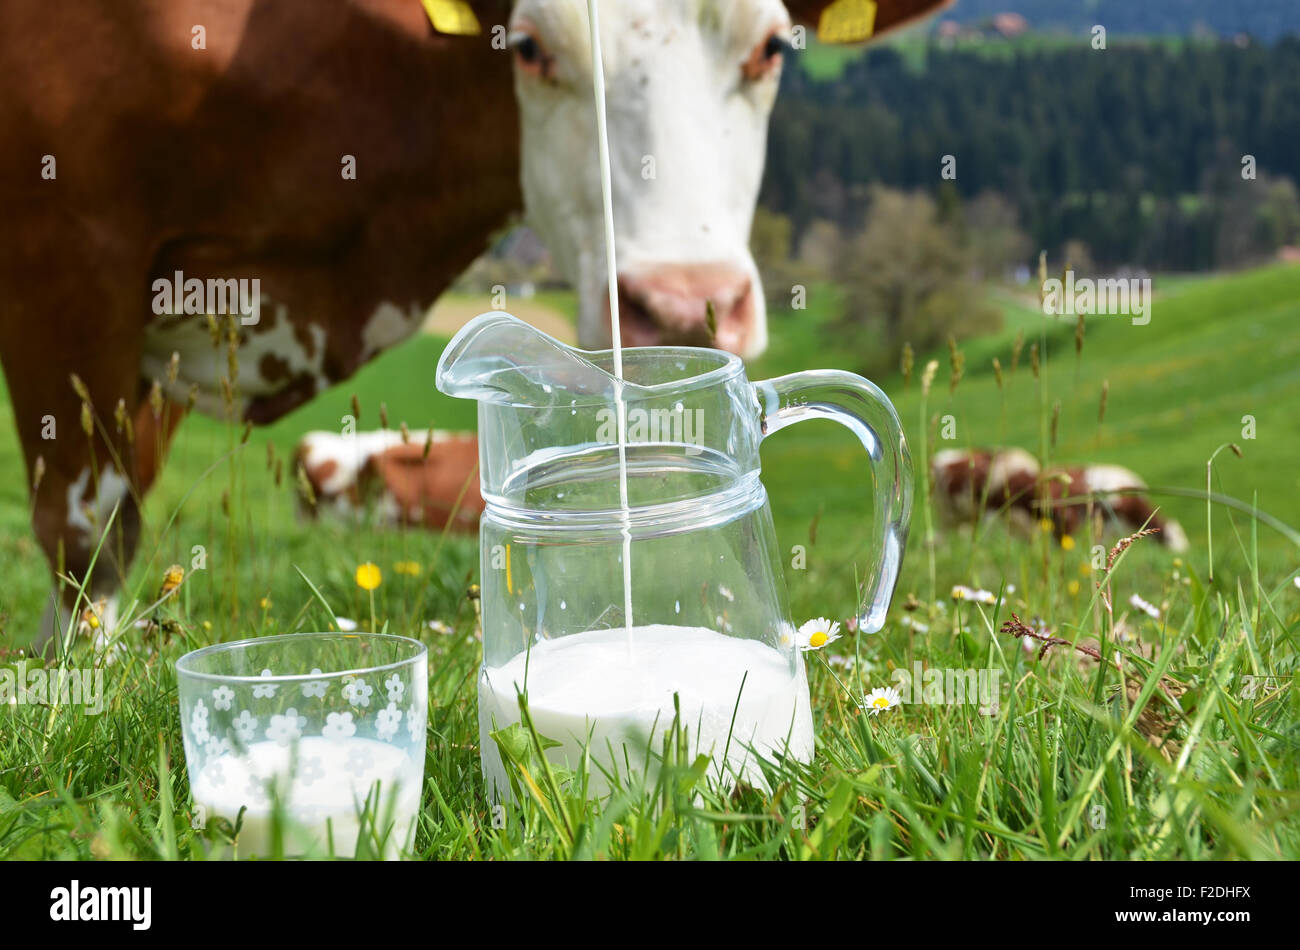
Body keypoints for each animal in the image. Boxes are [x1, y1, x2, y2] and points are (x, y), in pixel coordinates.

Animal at [2, 0, 956, 649]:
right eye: (529, 49)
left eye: (768, 49)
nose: (690, 305)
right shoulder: (70, 255)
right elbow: (89, 536)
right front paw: (77, 683)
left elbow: (116, 525)